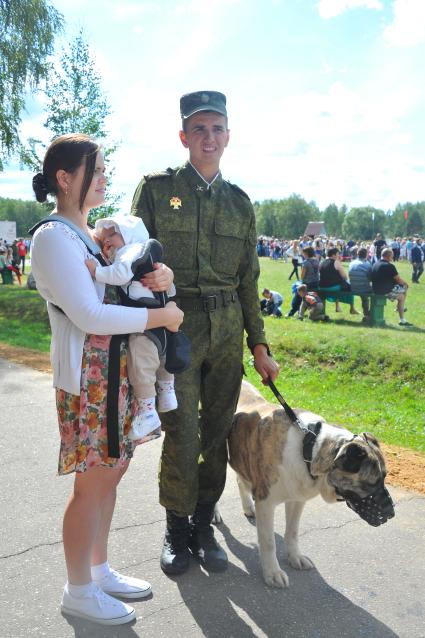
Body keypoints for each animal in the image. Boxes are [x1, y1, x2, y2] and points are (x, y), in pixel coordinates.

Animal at [220, 380, 390, 592]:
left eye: (385, 477)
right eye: (371, 482)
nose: (391, 512)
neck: (310, 448)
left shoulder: (297, 498)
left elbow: (292, 532)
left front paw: (295, 557)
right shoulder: (266, 503)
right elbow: (268, 542)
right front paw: (272, 572)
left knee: (240, 480)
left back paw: (248, 507)